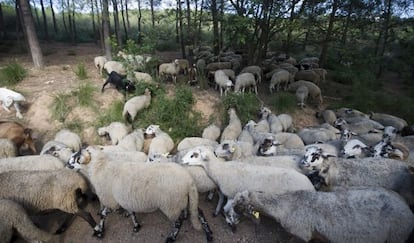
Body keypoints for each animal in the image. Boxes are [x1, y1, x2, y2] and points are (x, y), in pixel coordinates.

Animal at [69, 145, 212, 242]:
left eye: (77, 157)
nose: (67, 165)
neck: (100, 168)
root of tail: (189, 181)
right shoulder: (124, 199)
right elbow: (131, 212)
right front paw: (136, 225)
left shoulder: (112, 201)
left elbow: (103, 215)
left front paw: (99, 230)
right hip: (185, 200)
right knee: (198, 212)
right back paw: (209, 233)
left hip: (171, 205)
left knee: (178, 222)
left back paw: (172, 237)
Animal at [228, 188, 414, 243]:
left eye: (239, 202)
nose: (232, 211)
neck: (286, 205)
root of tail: (407, 208)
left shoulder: (302, 234)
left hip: (396, 235)